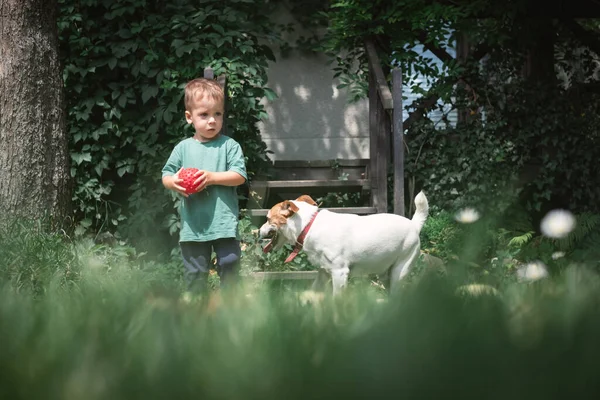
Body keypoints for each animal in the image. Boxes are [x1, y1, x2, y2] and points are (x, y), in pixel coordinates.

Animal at [260, 192, 428, 296]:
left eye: (267, 219)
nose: (257, 231)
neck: (309, 225)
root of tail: (414, 225)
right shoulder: (323, 273)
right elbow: (314, 291)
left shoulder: (339, 273)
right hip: (385, 275)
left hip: (399, 271)